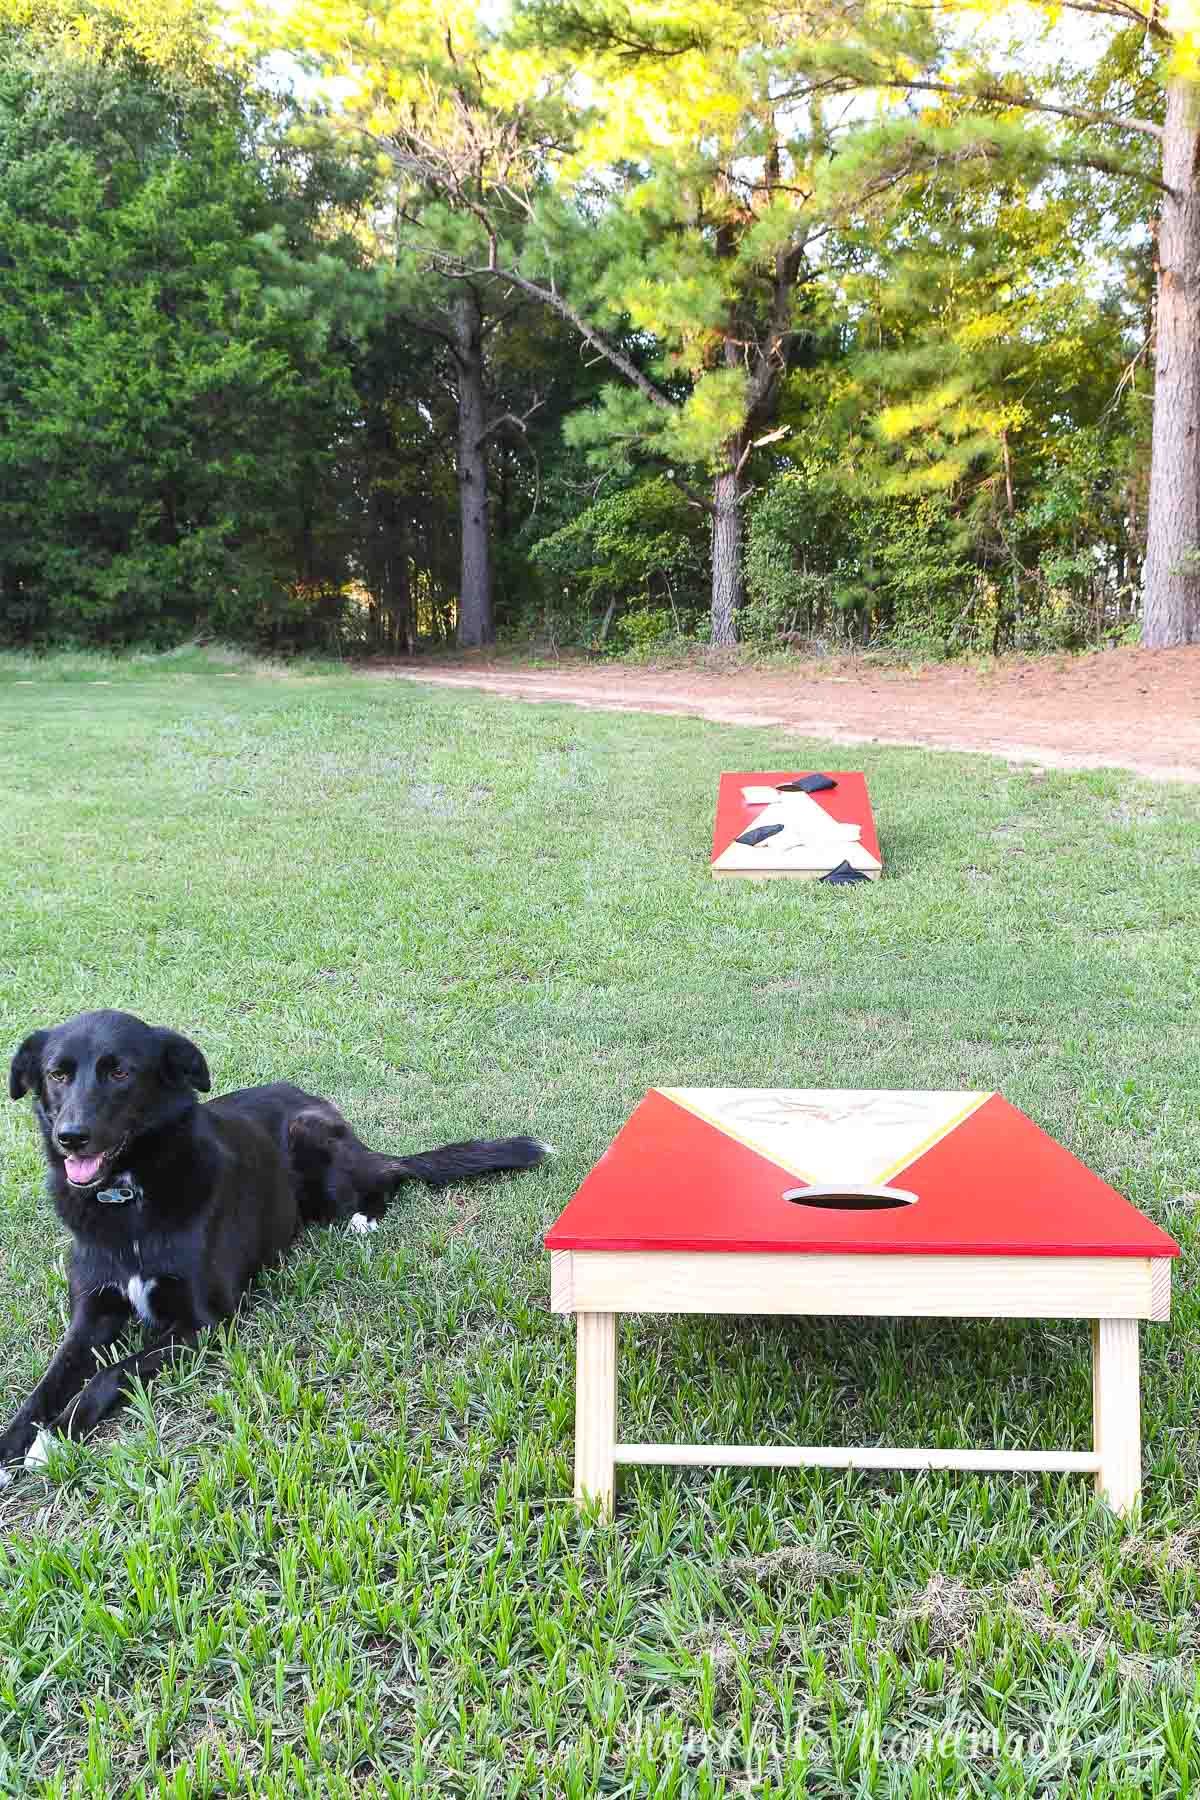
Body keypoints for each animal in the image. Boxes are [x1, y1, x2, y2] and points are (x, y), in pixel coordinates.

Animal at [2, 1015, 550, 1476]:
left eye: (120, 1072)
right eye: (57, 1074)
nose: (71, 1136)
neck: (129, 1196)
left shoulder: (203, 1324)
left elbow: (113, 1372)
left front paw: (56, 1438)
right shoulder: (91, 1316)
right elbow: (49, 1382)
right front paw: (15, 1440)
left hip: (312, 1139)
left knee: (389, 1177)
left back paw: (365, 1219)